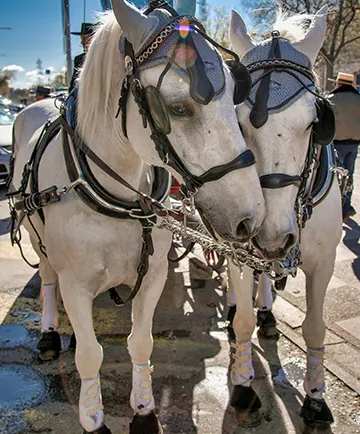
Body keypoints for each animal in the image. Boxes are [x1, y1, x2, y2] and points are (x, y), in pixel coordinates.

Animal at [11, 1, 264, 432]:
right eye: (178, 108)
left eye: (236, 94)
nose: (250, 218)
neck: (118, 195)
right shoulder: (75, 283)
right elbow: (90, 355)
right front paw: (93, 417)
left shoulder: (154, 275)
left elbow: (141, 342)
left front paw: (144, 410)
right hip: (36, 239)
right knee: (46, 280)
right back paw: (48, 334)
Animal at [226, 6, 342, 430]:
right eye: (237, 120)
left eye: (314, 122)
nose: (272, 235)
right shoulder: (238, 245)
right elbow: (242, 321)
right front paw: (243, 385)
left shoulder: (325, 262)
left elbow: (315, 328)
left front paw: (316, 397)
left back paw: (268, 312)